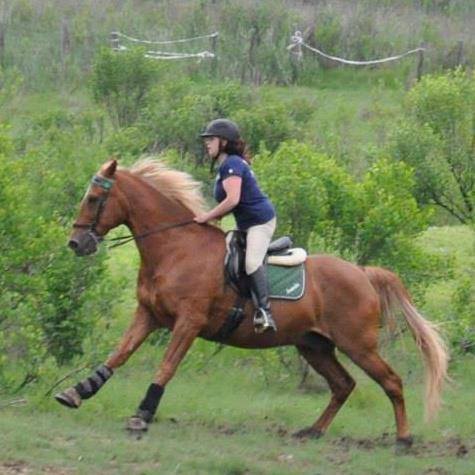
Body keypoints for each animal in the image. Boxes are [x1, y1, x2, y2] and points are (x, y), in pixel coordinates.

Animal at [56, 158, 450, 448]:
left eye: (94, 198)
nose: (76, 243)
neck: (174, 248)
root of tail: (363, 273)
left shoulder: (188, 322)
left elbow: (166, 367)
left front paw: (141, 416)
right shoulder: (149, 315)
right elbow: (119, 354)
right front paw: (77, 392)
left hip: (357, 344)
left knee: (391, 381)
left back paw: (403, 439)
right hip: (314, 345)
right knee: (343, 385)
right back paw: (313, 431)